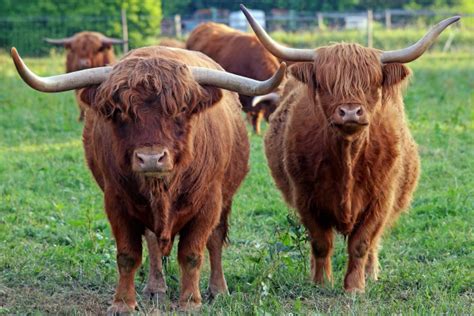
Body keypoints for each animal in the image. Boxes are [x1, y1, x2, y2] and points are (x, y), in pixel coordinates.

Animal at [11, 45, 286, 312]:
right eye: (120, 112)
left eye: (181, 109)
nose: (151, 158)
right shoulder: (115, 202)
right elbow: (127, 255)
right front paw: (123, 302)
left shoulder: (209, 201)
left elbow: (192, 253)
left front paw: (190, 302)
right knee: (153, 242)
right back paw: (156, 289)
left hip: (225, 198)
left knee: (215, 239)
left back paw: (218, 290)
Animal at [241, 4, 460, 292]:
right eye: (326, 83)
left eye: (371, 83)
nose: (350, 112)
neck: (348, 155)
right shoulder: (306, 198)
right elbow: (321, 243)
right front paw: (322, 283)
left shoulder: (381, 201)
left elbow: (361, 244)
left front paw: (355, 287)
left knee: (374, 244)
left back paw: (371, 273)